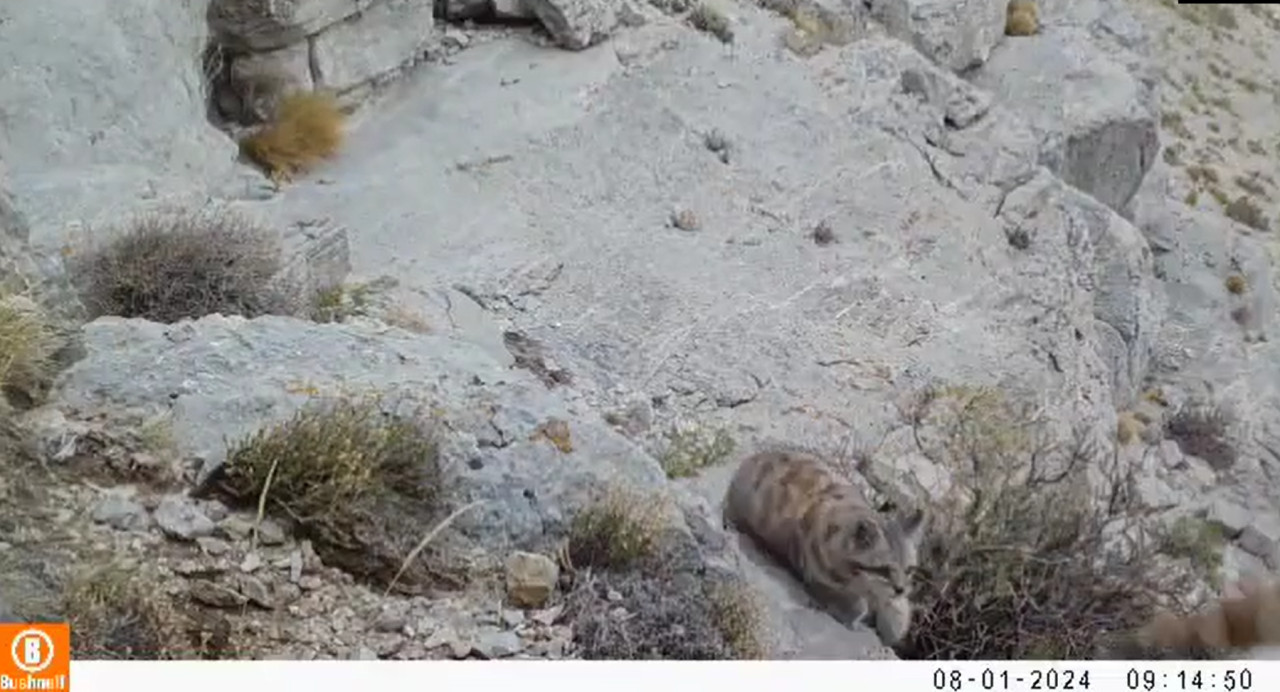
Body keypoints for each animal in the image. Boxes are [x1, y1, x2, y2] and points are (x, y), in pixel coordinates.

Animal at [727, 445, 926, 644]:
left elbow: (896, 612)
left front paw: (894, 621)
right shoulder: (817, 578)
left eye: (909, 570)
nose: (900, 589)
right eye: (884, 569)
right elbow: (854, 603)